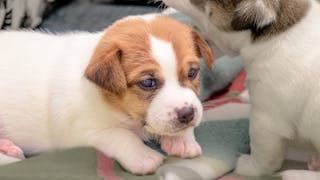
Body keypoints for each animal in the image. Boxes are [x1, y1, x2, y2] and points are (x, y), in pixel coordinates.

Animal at [0, 14, 215, 175]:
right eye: (148, 83)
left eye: (192, 72)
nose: (187, 114)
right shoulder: (81, 132)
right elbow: (121, 135)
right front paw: (143, 156)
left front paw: (183, 140)